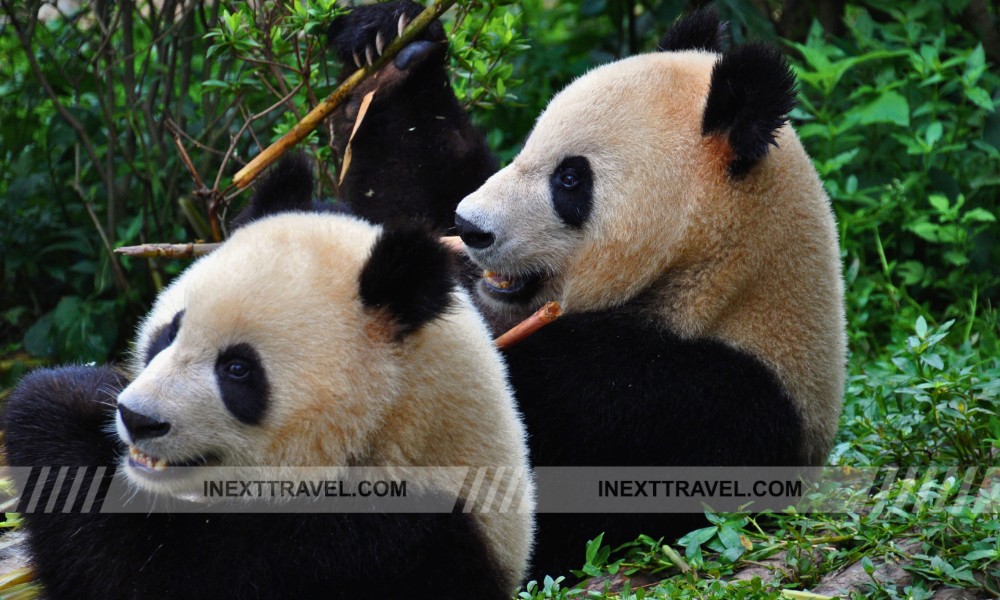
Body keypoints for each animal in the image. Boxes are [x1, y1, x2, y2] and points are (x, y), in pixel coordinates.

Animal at [5, 157, 540, 596]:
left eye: (237, 369)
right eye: (169, 331)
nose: (138, 419)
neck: (399, 424)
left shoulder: (374, 546)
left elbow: (147, 569)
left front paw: (55, 398)